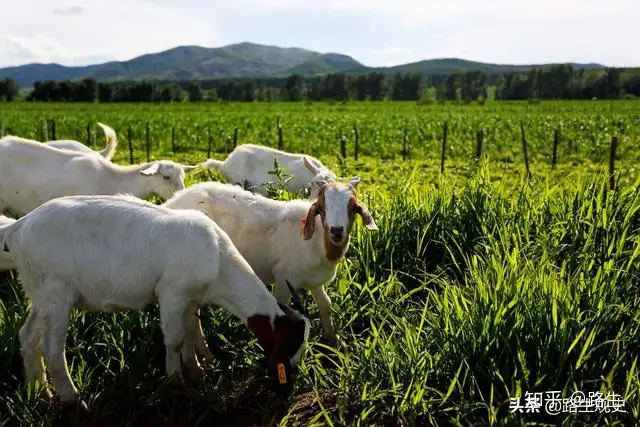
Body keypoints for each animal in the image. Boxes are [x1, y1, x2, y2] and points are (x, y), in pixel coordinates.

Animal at [0, 194, 310, 408]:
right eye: (288, 344)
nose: (286, 390)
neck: (219, 259)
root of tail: (19, 228)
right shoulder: (172, 292)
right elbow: (174, 339)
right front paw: (175, 383)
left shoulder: (190, 299)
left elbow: (190, 332)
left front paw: (196, 371)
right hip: (57, 294)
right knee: (52, 347)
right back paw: (73, 399)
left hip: (39, 292)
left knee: (28, 336)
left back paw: (39, 391)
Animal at [162, 177, 378, 348]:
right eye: (322, 208)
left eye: (352, 207)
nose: (336, 230)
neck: (317, 240)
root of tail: (170, 204)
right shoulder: (283, 278)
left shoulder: (314, 280)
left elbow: (325, 304)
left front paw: (334, 342)